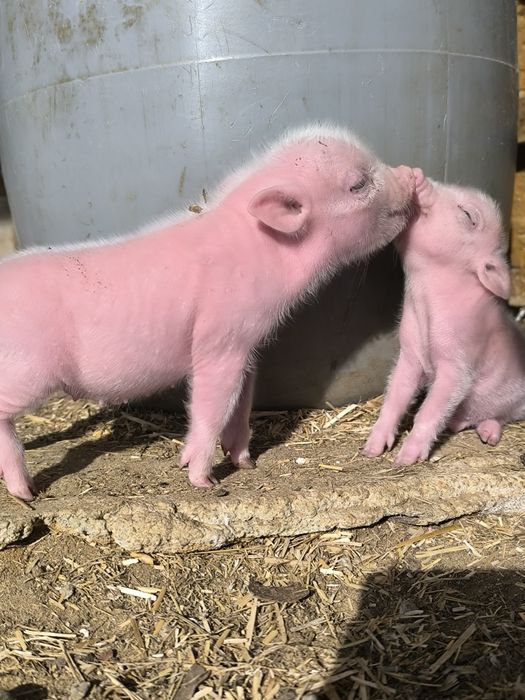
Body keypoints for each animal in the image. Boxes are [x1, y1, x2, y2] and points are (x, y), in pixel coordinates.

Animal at [0, 124, 416, 500]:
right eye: (358, 184)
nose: (411, 174)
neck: (265, 249)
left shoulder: (247, 345)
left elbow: (242, 404)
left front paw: (244, 462)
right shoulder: (220, 341)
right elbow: (212, 407)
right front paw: (204, 481)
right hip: (28, 369)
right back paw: (27, 494)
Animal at [363, 171, 525, 465]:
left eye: (468, 215)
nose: (415, 173)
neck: (424, 296)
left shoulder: (458, 366)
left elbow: (428, 411)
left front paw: (405, 460)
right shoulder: (410, 353)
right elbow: (395, 397)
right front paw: (371, 450)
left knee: (500, 417)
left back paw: (487, 434)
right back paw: (458, 424)